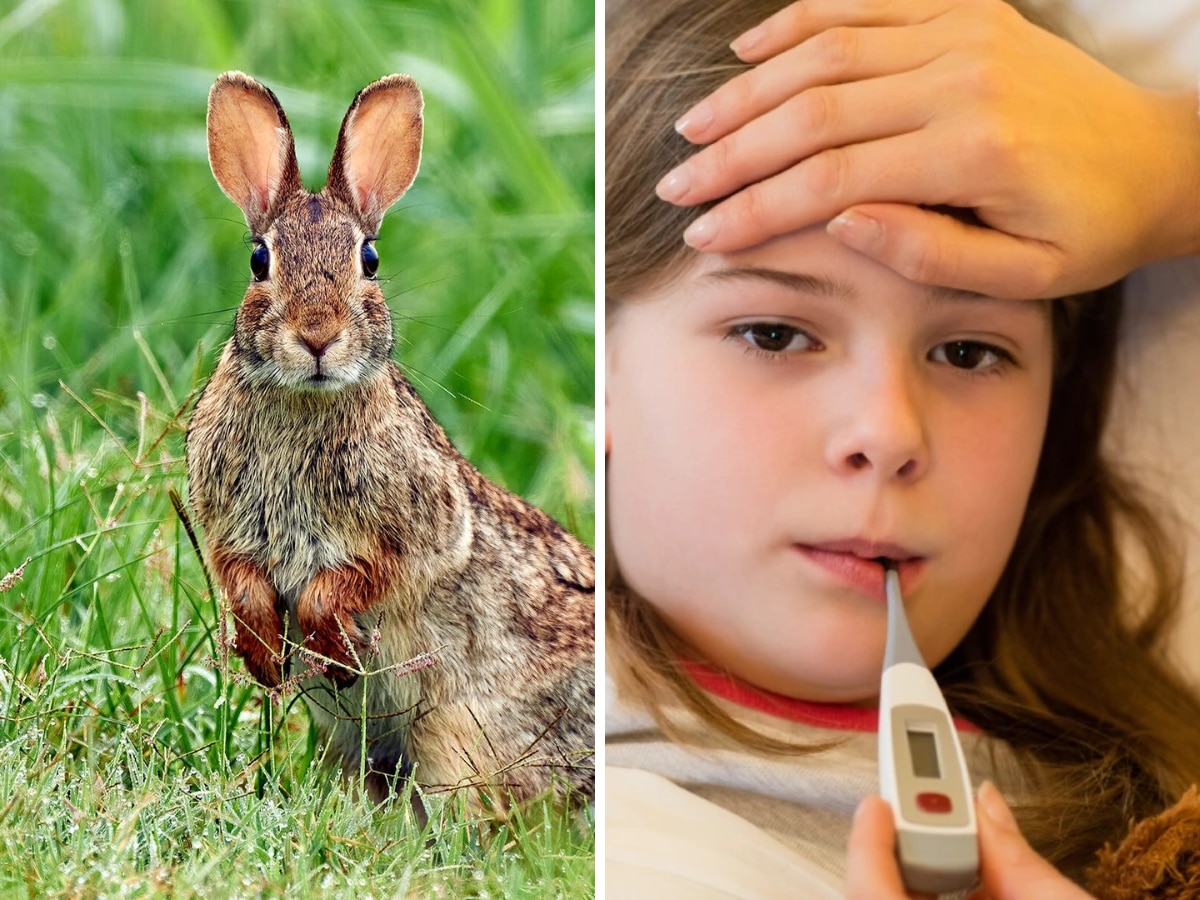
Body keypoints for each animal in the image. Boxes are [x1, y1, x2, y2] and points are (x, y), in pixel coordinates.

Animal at [187, 72, 595, 811]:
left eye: (369, 259)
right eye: (259, 260)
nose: (317, 335)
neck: (305, 401)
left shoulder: (422, 530)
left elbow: (358, 578)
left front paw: (328, 646)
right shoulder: (229, 531)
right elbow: (242, 581)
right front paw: (262, 653)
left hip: (455, 736)